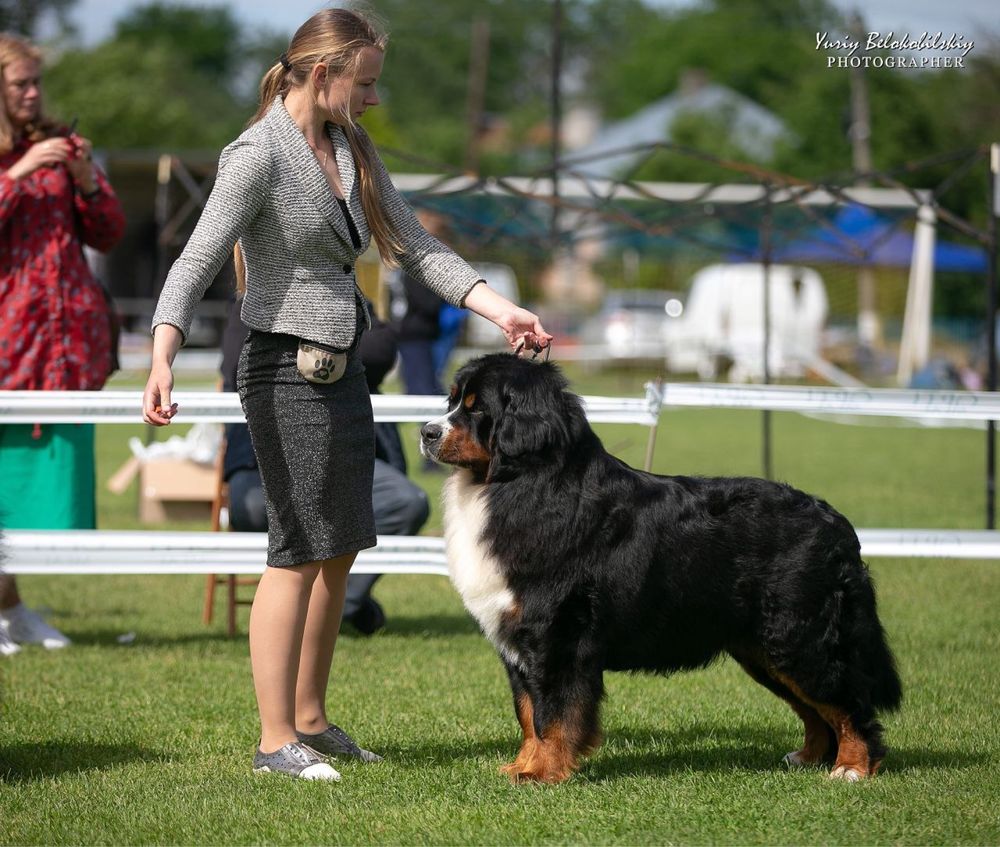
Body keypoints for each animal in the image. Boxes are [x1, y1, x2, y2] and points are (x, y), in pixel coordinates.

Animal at [418, 354, 904, 784]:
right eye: (453, 400)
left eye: (478, 407)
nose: (426, 431)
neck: (520, 483)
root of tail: (836, 523)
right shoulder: (517, 643)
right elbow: (527, 713)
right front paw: (522, 766)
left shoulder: (556, 638)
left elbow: (552, 714)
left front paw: (542, 773)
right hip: (764, 651)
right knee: (817, 710)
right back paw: (808, 758)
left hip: (798, 638)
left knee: (850, 703)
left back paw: (852, 768)